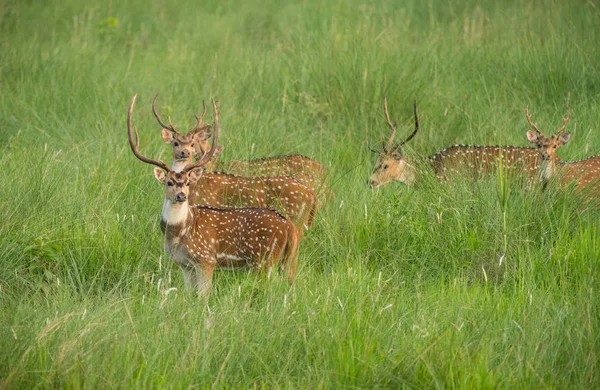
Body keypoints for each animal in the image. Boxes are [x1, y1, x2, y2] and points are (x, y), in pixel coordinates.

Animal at [129, 94, 302, 296]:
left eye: (187, 182)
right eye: (169, 182)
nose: (181, 196)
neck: (178, 234)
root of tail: (289, 227)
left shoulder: (206, 259)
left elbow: (203, 296)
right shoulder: (185, 265)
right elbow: (189, 295)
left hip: (264, 259)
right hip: (288, 260)